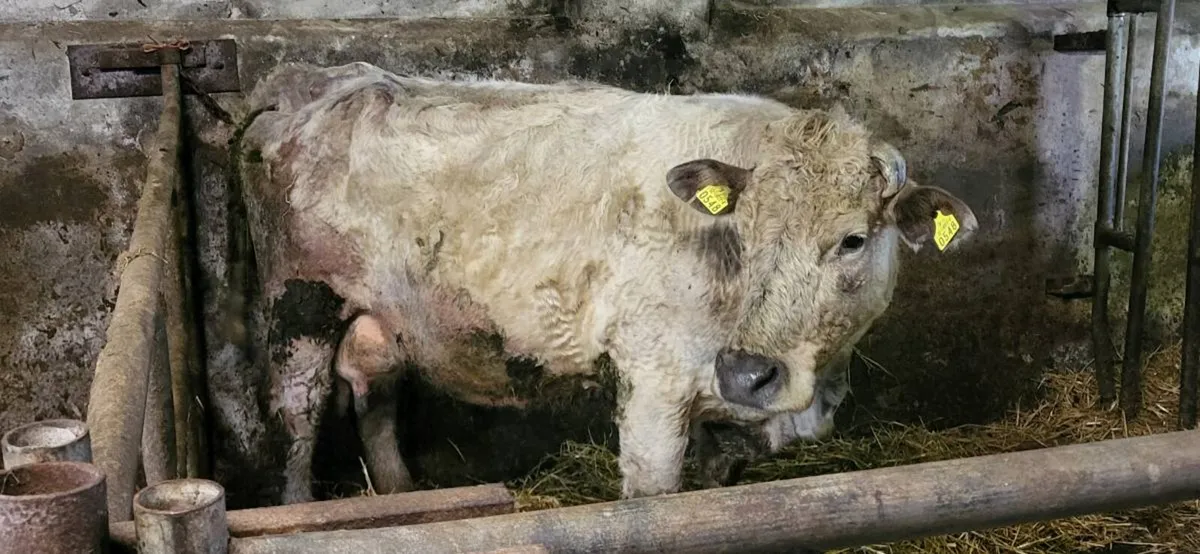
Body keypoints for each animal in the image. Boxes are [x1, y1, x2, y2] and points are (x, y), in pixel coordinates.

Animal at [233, 61, 977, 504]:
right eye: (744, 234)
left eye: (853, 240)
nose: (747, 373)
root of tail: (318, 79)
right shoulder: (652, 379)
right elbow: (651, 500)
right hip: (298, 305)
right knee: (296, 415)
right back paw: (301, 512)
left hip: (381, 318)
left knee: (377, 398)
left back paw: (401, 494)